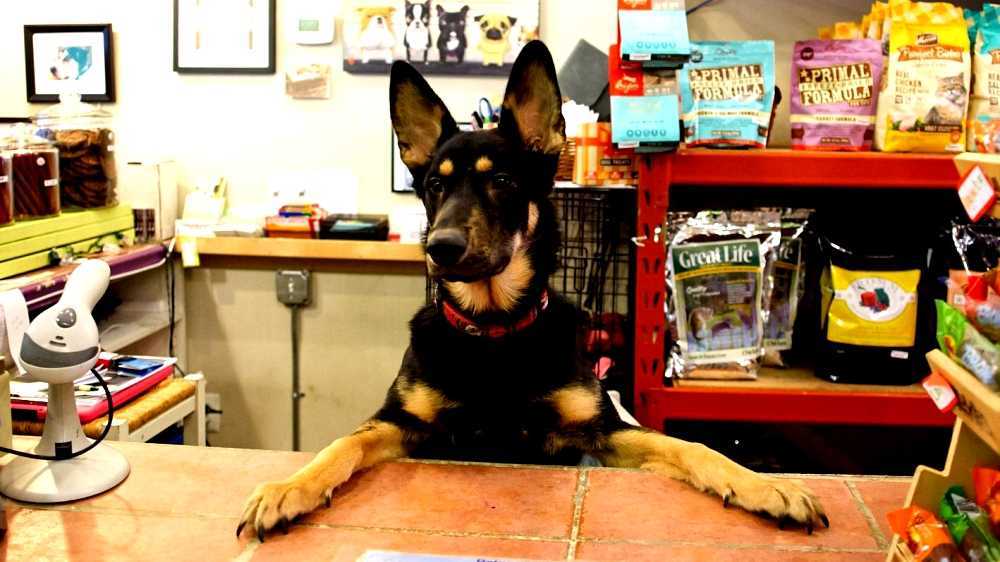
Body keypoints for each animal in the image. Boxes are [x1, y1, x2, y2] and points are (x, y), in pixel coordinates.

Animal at [237, 40, 828, 541]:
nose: (440, 248)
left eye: (501, 181)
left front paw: (764, 486)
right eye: (434, 185)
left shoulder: (599, 430)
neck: (494, 328)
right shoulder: (401, 423)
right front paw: (288, 488)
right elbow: (341, 444)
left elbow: (690, 446)